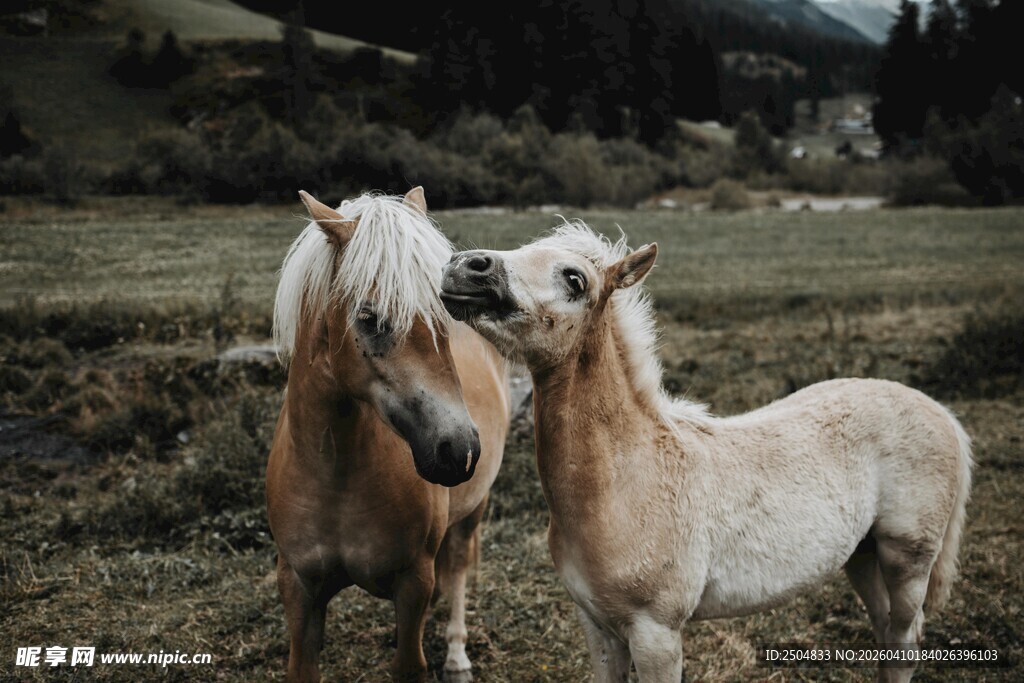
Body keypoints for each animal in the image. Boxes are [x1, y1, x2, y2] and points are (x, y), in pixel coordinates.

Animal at [266, 188, 510, 683]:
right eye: (369, 318)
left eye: (444, 316)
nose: (458, 450)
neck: (337, 476)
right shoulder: (297, 586)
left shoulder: (412, 581)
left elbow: (410, 661)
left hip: (473, 510)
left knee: (458, 567)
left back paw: (457, 656)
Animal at [439, 220, 972, 683]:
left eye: (574, 279)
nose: (465, 266)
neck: (627, 480)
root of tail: (941, 414)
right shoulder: (597, 628)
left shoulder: (656, 632)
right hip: (862, 555)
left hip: (907, 559)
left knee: (904, 643)